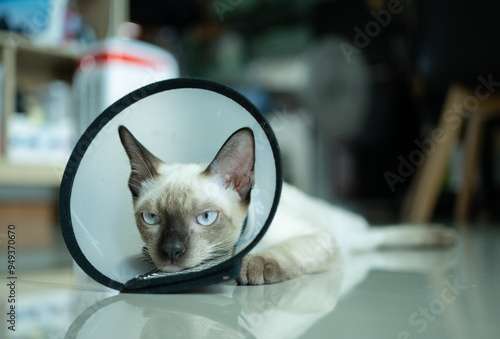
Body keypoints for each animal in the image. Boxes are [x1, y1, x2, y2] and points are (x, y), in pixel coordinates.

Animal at [119, 126, 456, 286]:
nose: (171, 252)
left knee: (378, 235)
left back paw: (442, 236)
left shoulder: (318, 238)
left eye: (205, 218)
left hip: (347, 235)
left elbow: (279, 254)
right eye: (151, 218)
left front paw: (252, 267)